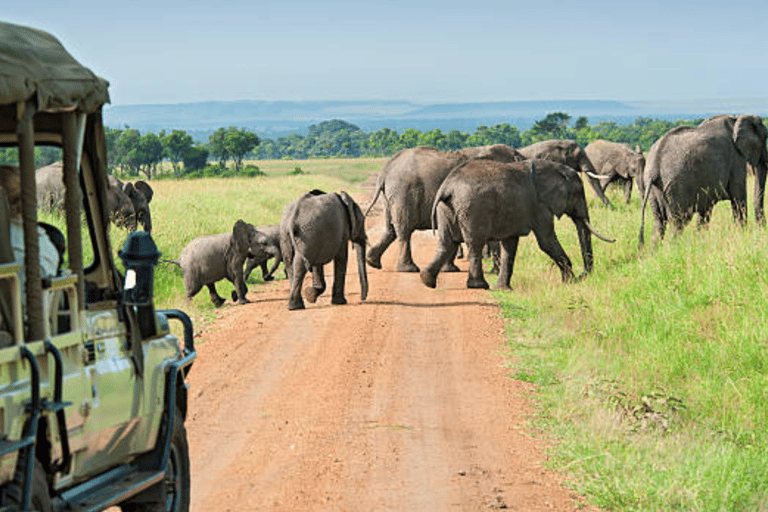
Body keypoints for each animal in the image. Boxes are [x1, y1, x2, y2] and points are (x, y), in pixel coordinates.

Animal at [364, 144, 520, 272]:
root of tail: (386, 169)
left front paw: (450, 269)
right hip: (404, 193)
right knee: (404, 230)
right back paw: (408, 269)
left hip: (390, 196)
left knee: (391, 229)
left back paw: (372, 262)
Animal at [416, 158, 616, 290]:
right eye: (578, 193)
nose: (584, 276)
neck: (551, 168)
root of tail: (447, 186)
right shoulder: (539, 205)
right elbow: (546, 241)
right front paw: (569, 282)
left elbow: (510, 245)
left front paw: (503, 289)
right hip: (472, 209)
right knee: (474, 244)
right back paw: (479, 286)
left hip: (446, 208)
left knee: (447, 242)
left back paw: (427, 280)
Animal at [636, 116, 768, 244]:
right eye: (765, 137)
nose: (761, 229)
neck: (737, 119)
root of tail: (654, 166)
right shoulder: (736, 159)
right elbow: (738, 198)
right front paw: (742, 234)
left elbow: (705, 210)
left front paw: (700, 238)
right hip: (677, 186)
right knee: (679, 221)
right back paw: (674, 247)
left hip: (654, 188)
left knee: (659, 222)